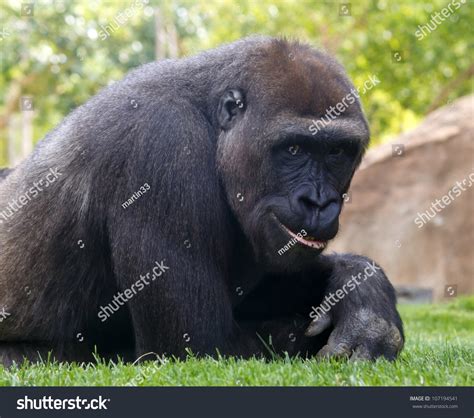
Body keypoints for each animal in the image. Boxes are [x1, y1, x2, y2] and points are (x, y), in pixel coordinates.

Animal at [0, 36, 404, 366]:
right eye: (293, 149)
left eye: (337, 152)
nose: (318, 202)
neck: (210, 120)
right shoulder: (163, 144)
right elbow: (200, 345)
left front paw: (362, 289)